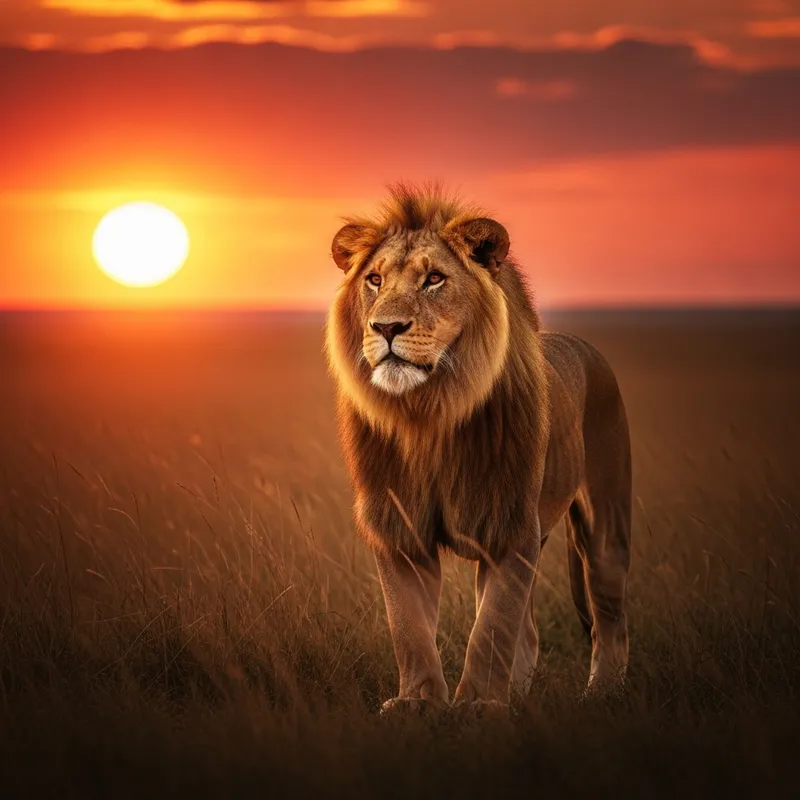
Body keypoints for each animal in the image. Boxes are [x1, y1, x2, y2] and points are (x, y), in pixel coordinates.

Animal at [325, 184, 631, 713]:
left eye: (433, 279)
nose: (386, 327)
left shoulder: (509, 525)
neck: (430, 416)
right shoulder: (400, 527)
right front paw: (417, 701)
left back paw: (602, 693)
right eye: (374, 280)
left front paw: (479, 705)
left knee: (610, 620)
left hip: (605, 524)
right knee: (530, 632)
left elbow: (492, 627)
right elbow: (409, 626)